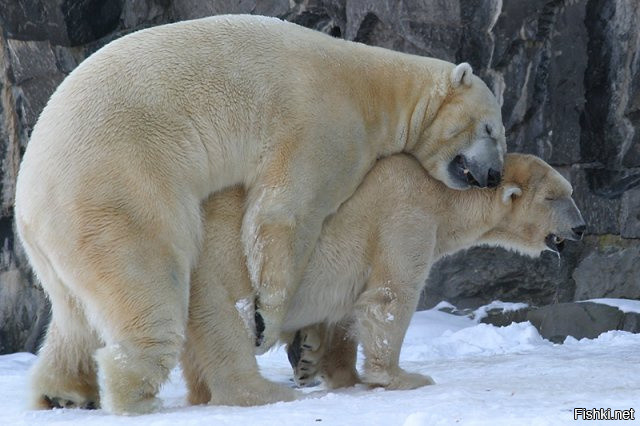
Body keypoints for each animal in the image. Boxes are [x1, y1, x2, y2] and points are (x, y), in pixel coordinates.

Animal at [15, 15, 504, 414]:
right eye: (492, 128)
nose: (495, 174)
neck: (374, 87)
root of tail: (27, 201)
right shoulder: (326, 123)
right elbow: (285, 212)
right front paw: (266, 324)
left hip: (64, 240)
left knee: (74, 315)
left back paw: (63, 393)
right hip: (117, 189)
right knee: (150, 286)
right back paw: (140, 396)